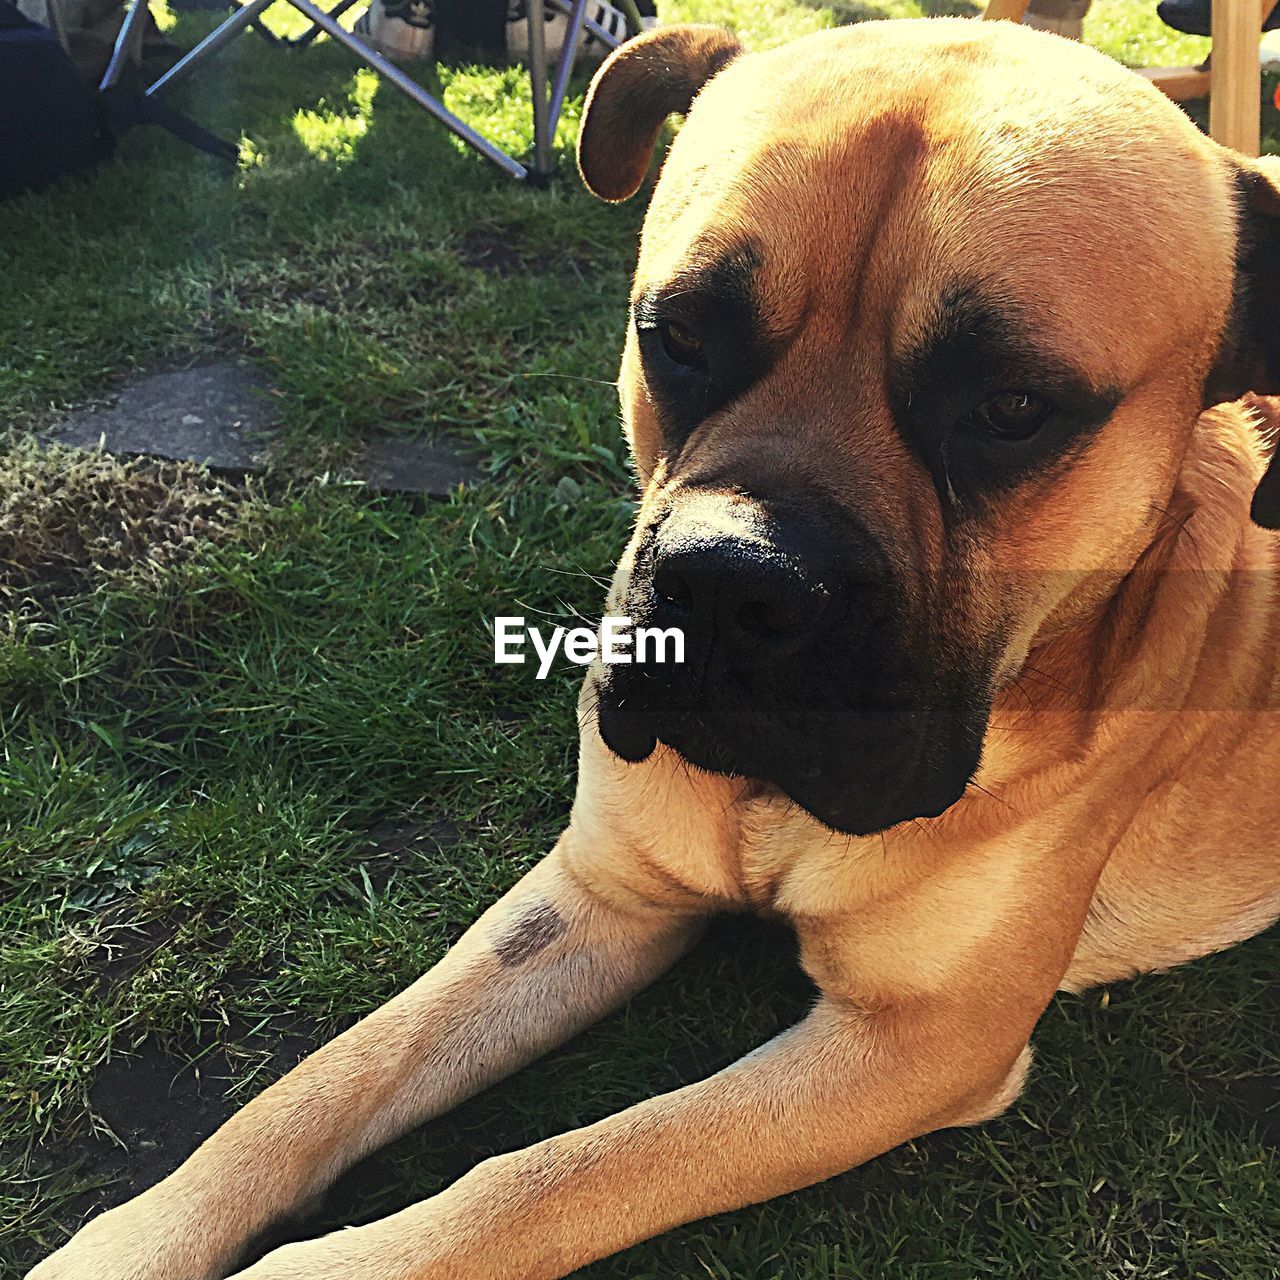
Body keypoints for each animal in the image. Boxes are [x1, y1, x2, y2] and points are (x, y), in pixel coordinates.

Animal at [27, 17, 1280, 1280]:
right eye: (675, 338)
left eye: (1011, 406)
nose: (727, 580)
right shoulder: (597, 895)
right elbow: (335, 1071)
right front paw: (137, 1235)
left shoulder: (912, 1041)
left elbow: (556, 1172)